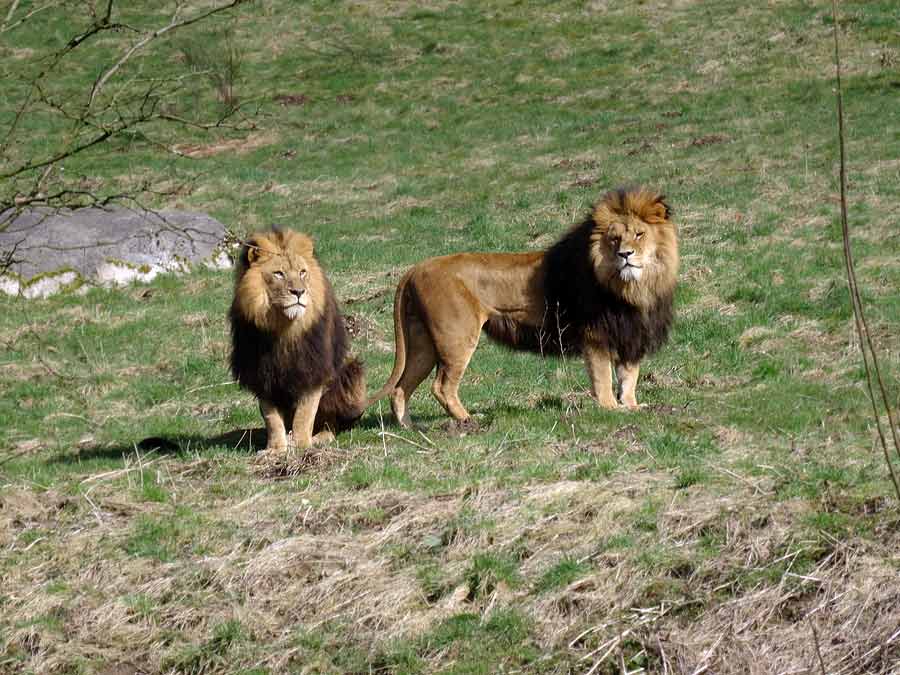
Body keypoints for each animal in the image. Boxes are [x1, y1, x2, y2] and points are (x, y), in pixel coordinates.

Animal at [229, 228, 366, 454]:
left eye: (302, 272)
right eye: (279, 273)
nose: (299, 292)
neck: (283, 328)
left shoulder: (313, 371)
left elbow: (305, 414)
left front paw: (302, 445)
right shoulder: (262, 376)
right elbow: (271, 419)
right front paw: (275, 449)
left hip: (350, 371)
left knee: (331, 422)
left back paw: (318, 438)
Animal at [366, 186, 676, 428]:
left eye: (639, 234)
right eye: (614, 238)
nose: (625, 254)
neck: (632, 288)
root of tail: (415, 269)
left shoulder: (633, 334)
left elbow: (629, 377)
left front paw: (633, 406)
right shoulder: (595, 336)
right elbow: (603, 378)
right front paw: (611, 409)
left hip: (424, 343)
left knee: (400, 388)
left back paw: (409, 428)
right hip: (456, 337)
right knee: (441, 387)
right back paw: (470, 421)